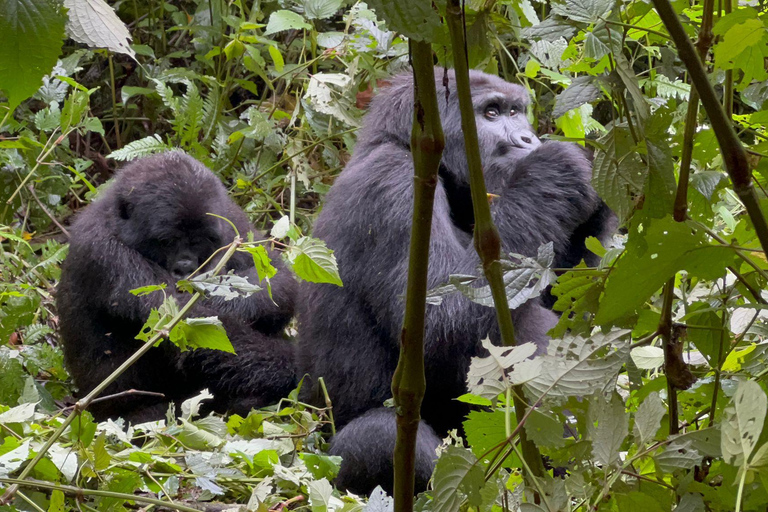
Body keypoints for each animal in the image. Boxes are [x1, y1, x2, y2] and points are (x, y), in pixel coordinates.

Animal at [56, 152, 296, 424]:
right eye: (167, 241)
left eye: (201, 240)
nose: (185, 268)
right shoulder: (105, 253)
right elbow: (187, 326)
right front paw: (293, 364)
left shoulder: (231, 217)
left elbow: (277, 277)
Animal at [296, 70, 616, 494]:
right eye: (491, 113)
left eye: (516, 111)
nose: (528, 139)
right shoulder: (392, 186)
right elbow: (441, 328)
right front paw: (554, 173)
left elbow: (565, 306)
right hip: (322, 463)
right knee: (380, 438)